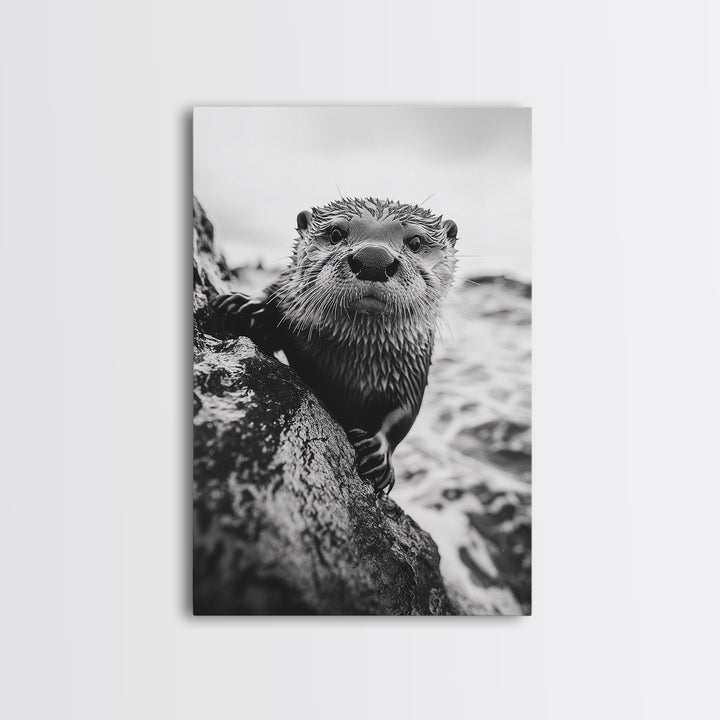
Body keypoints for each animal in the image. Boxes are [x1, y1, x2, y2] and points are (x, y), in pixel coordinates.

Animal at [212, 197, 458, 493]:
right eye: (336, 233)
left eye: (416, 241)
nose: (373, 259)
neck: (350, 363)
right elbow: (275, 291)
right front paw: (247, 305)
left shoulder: (412, 369)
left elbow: (402, 415)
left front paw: (378, 453)